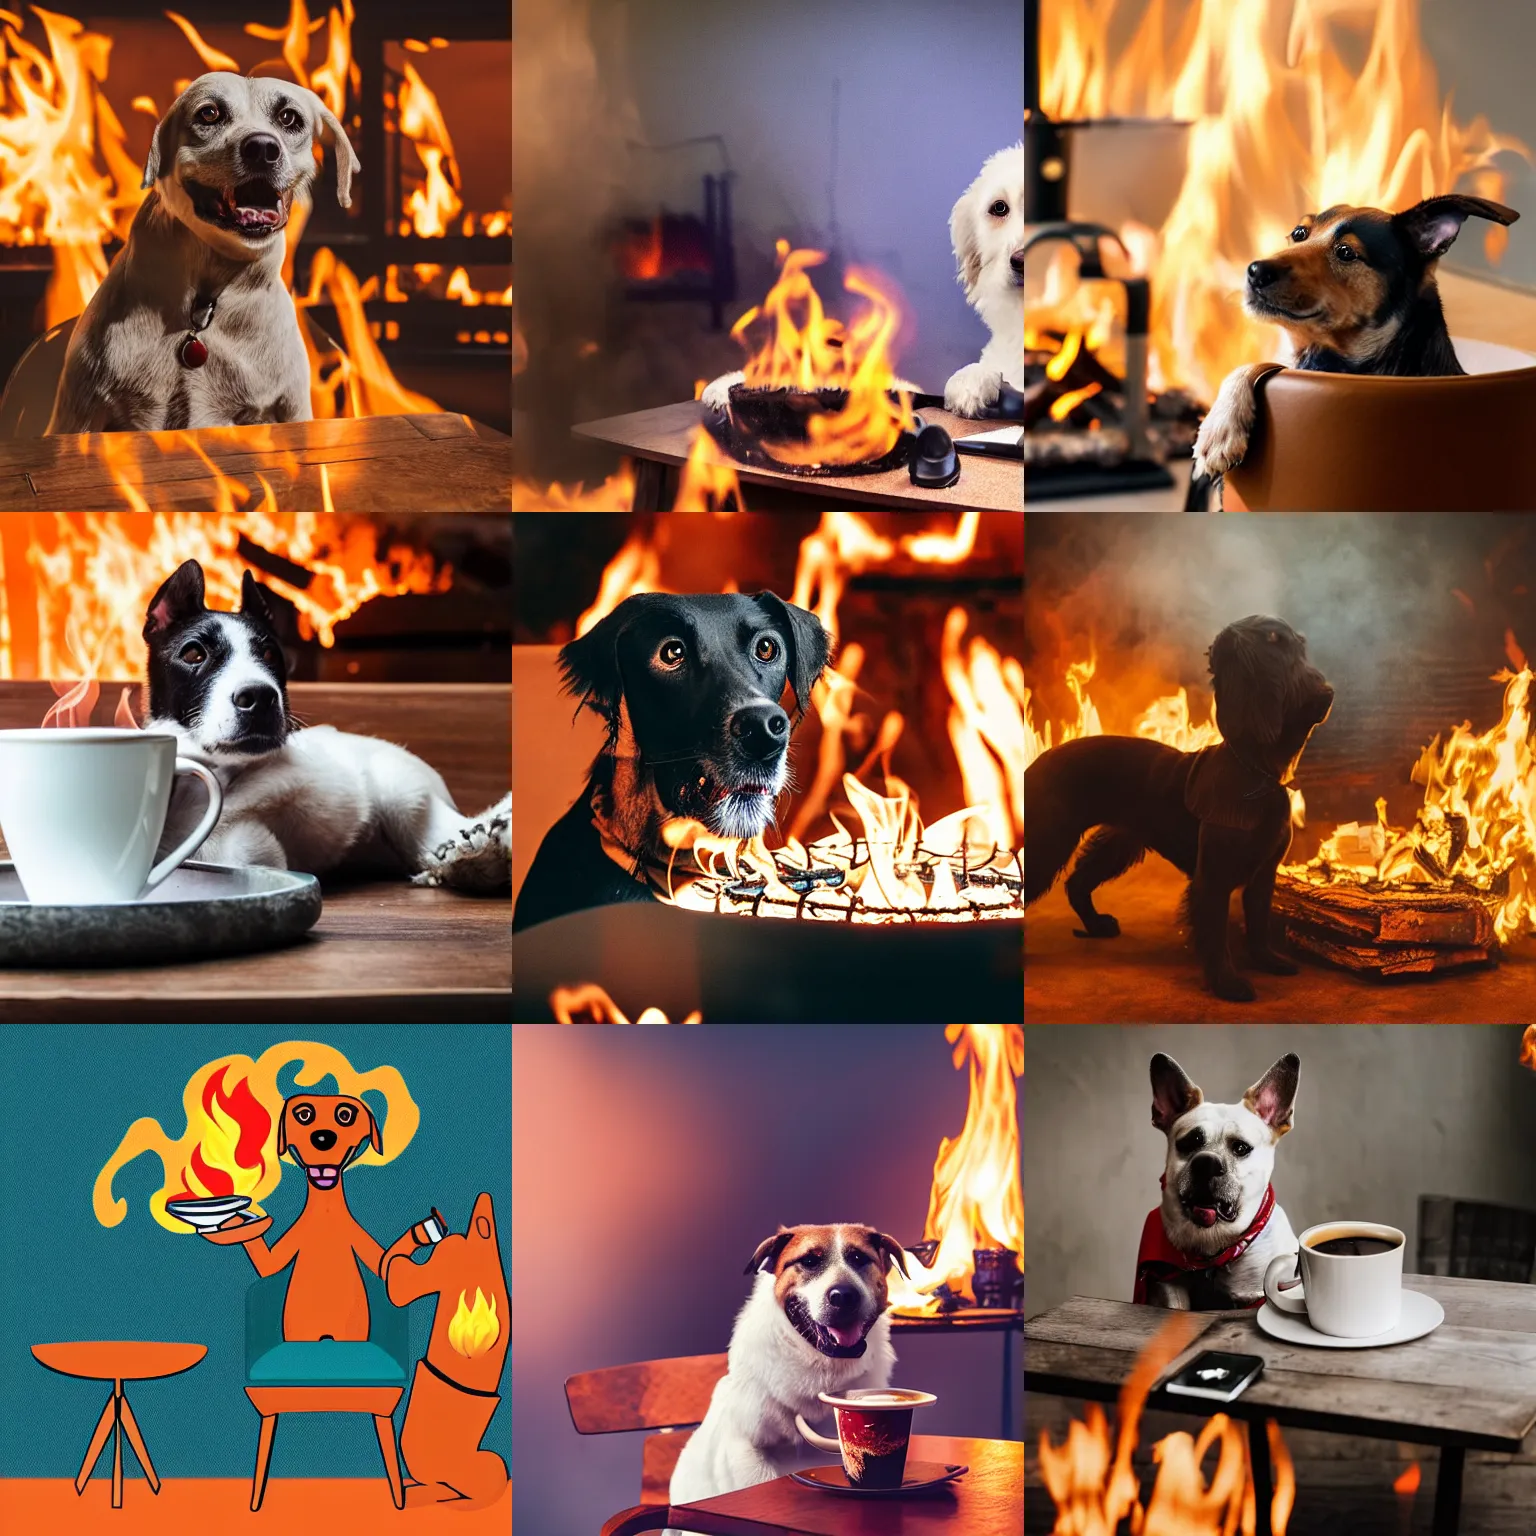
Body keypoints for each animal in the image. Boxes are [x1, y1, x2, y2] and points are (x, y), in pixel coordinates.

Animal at [144, 556, 506, 897]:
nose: (260, 697)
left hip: (403, 799)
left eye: (270, 654)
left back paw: (477, 858)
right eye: (194, 654)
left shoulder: (249, 845)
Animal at [1032, 617, 1333, 1001]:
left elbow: (1259, 925)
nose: (1327, 691)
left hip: (1120, 843)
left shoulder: (1263, 874)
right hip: (1050, 842)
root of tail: (1035, 764)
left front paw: (1268, 961)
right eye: (1275, 640)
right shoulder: (1213, 877)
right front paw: (1227, 983)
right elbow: (1215, 935)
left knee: (1077, 882)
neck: (1255, 774)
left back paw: (1097, 925)